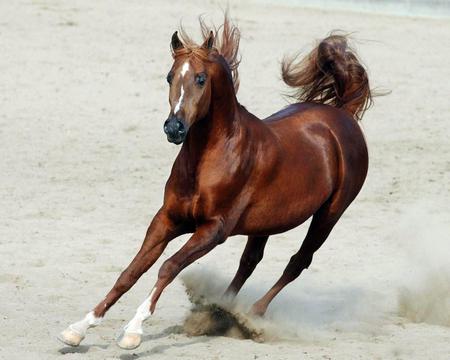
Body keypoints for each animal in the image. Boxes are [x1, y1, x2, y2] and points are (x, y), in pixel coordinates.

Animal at [58, 15, 370, 350]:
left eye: (200, 79)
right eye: (169, 77)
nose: (174, 128)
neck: (209, 158)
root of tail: (343, 116)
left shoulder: (213, 229)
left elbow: (168, 267)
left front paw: (133, 331)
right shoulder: (167, 219)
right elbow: (130, 272)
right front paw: (78, 328)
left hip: (329, 215)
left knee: (298, 262)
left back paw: (251, 316)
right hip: (267, 222)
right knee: (250, 261)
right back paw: (221, 310)